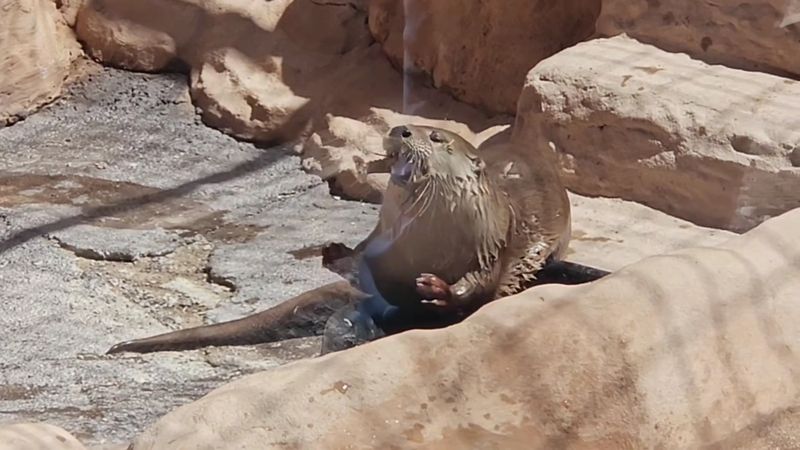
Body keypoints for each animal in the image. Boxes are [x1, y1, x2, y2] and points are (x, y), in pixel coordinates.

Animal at [106, 125, 608, 355]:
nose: (401, 129)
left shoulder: (492, 248)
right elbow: (364, 269)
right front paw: (336, 255)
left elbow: (477, 288)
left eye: (435, 136)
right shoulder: (379, 247)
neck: (426, 241)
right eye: (409, 125)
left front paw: (436, 289)